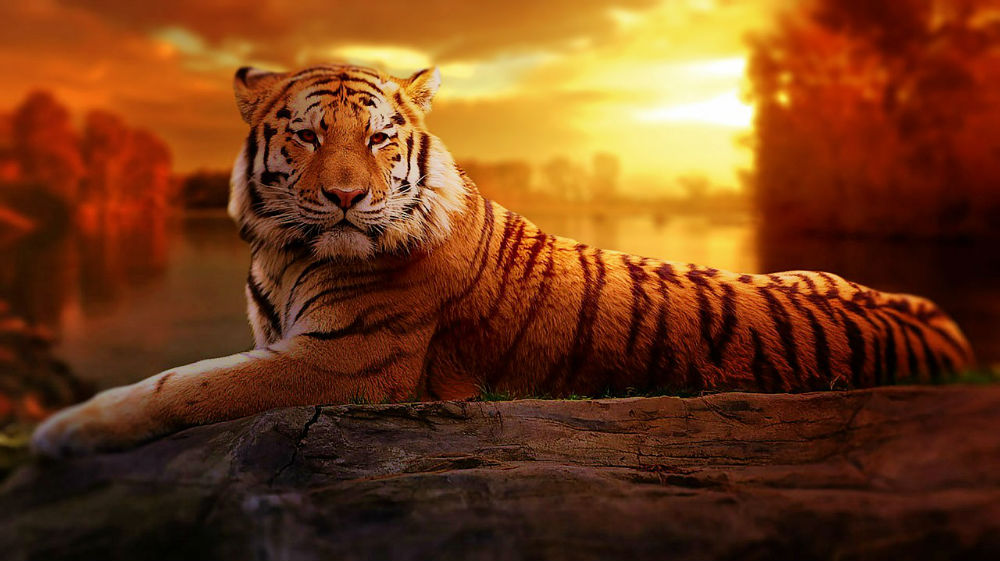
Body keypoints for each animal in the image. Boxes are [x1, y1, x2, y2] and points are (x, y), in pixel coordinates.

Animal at [32, 63, 975, 458]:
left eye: (379, 138)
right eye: (306, 135)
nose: (346, 198)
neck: (286, 253)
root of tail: (945, 326)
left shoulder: (339, 365)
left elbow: (182, 383)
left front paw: (63, 429)